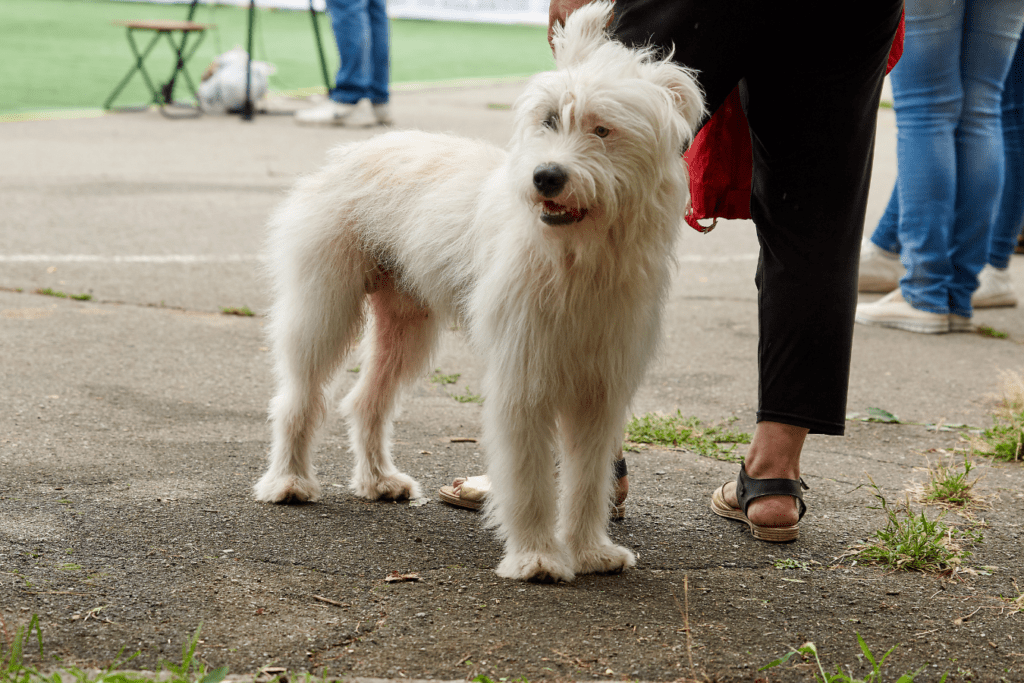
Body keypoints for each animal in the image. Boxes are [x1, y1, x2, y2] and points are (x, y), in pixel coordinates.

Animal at [253, 2, 704, 585]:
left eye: (603, 129)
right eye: (550, 120)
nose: (546, 177)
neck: (577, 256)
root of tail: (352, 151)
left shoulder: (601, 388)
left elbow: (587, 481)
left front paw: (590, 552)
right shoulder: (524, 380)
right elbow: (530, 479)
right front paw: (536, 557)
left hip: (406, 327)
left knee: (366, 400)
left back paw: (378, 480)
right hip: (322, 307)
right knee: (299, 396)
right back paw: (287, 481)